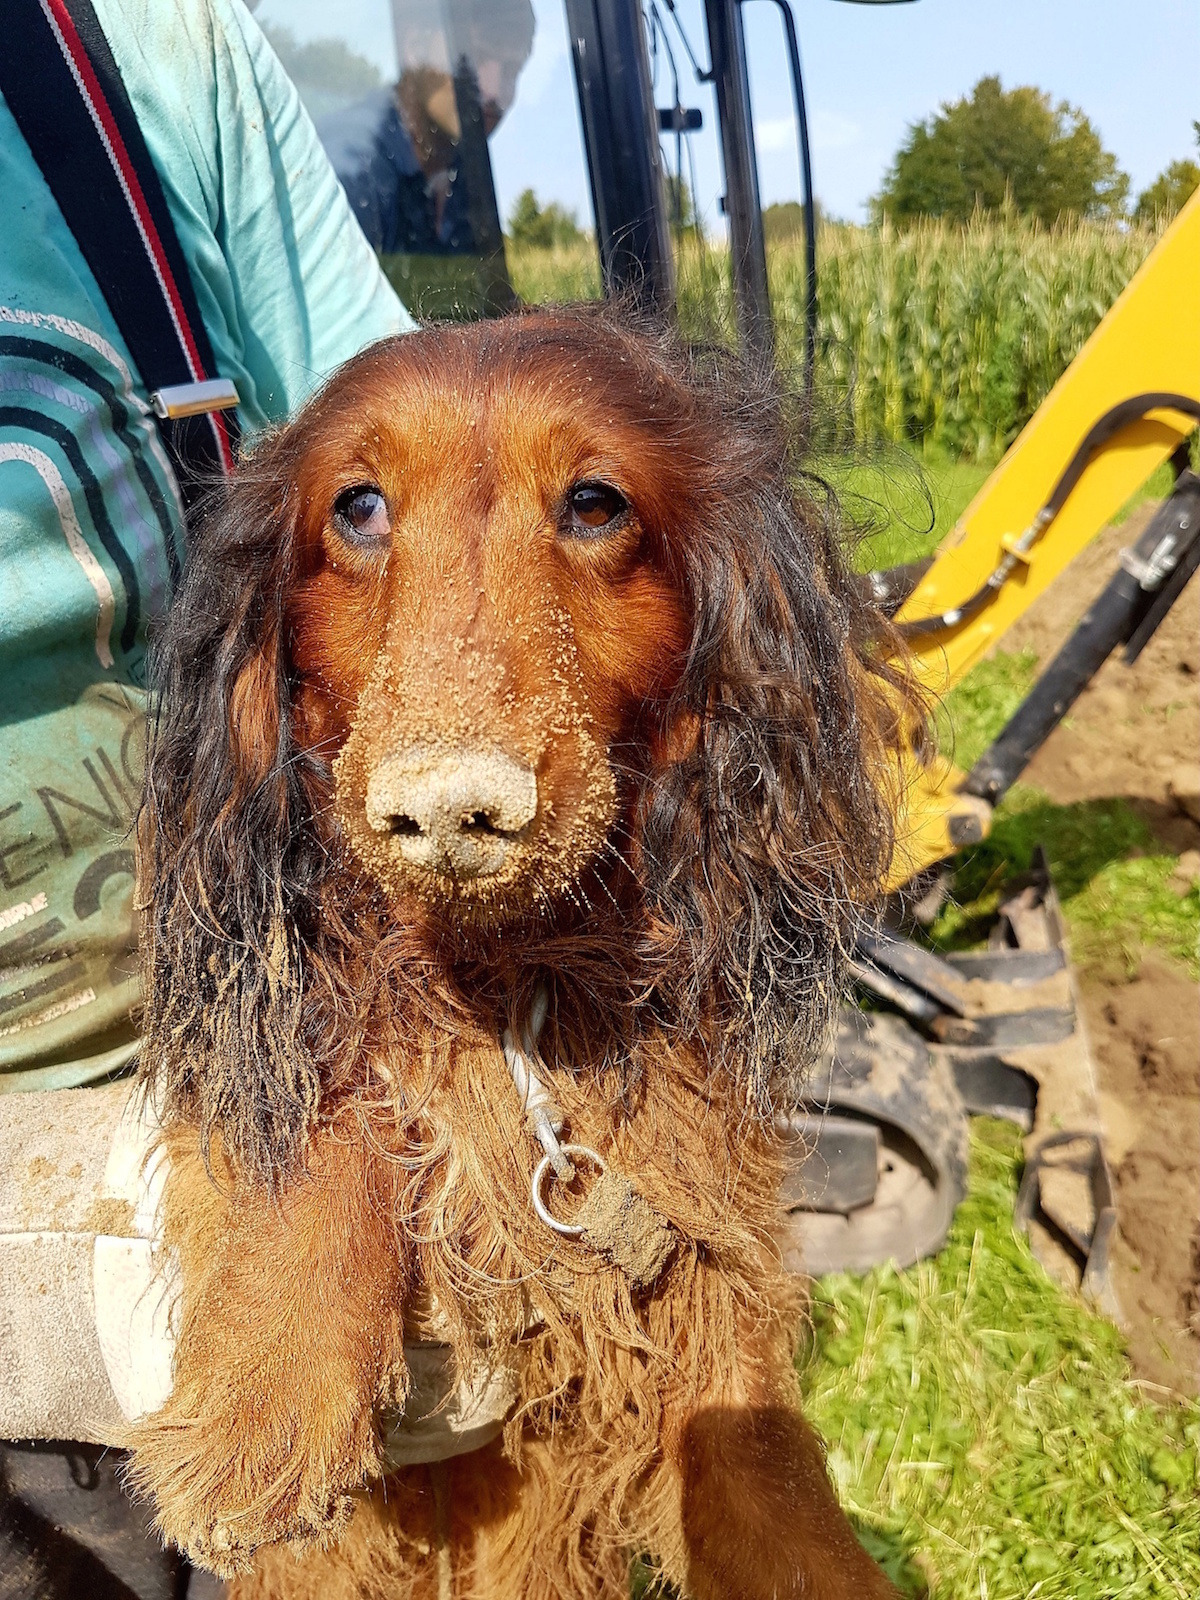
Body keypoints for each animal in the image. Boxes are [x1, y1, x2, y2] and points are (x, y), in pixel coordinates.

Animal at [131, 305, 908, 1593]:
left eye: (595, 503)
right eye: (358, 507)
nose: (450, 808)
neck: (505, 990)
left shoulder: (697, 1243)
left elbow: (761, 1454)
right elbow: (338, 1103)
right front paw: (266, 1388)